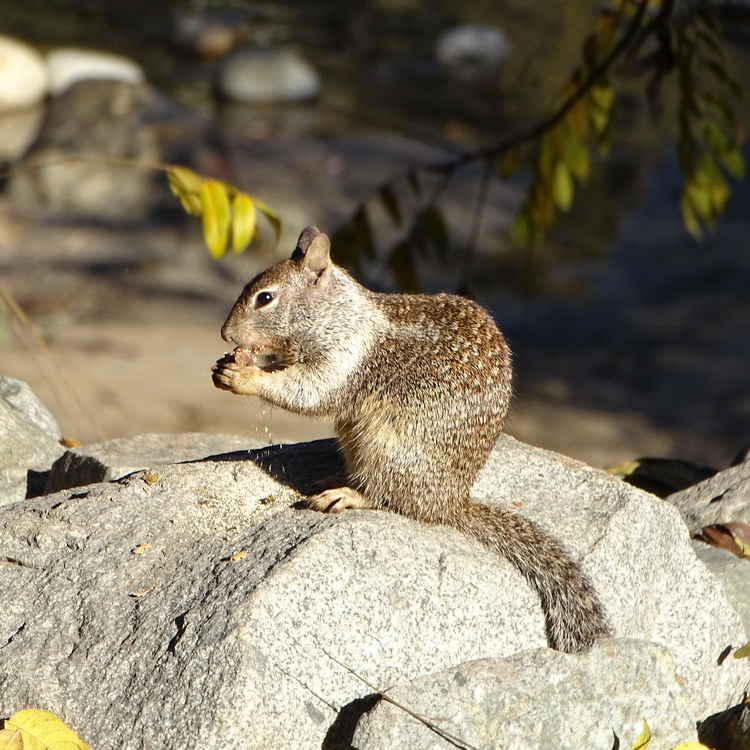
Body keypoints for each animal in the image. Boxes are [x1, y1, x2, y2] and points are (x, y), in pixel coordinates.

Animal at [212, 225, 610, 653]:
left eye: (265, 298)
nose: (225, 333)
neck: (337, 314)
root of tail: (451, 502)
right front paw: (233, 363)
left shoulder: (342, 359)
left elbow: (309, 393)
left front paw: (244, 376)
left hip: (387, 448)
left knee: (392, 501)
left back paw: (347, 495)